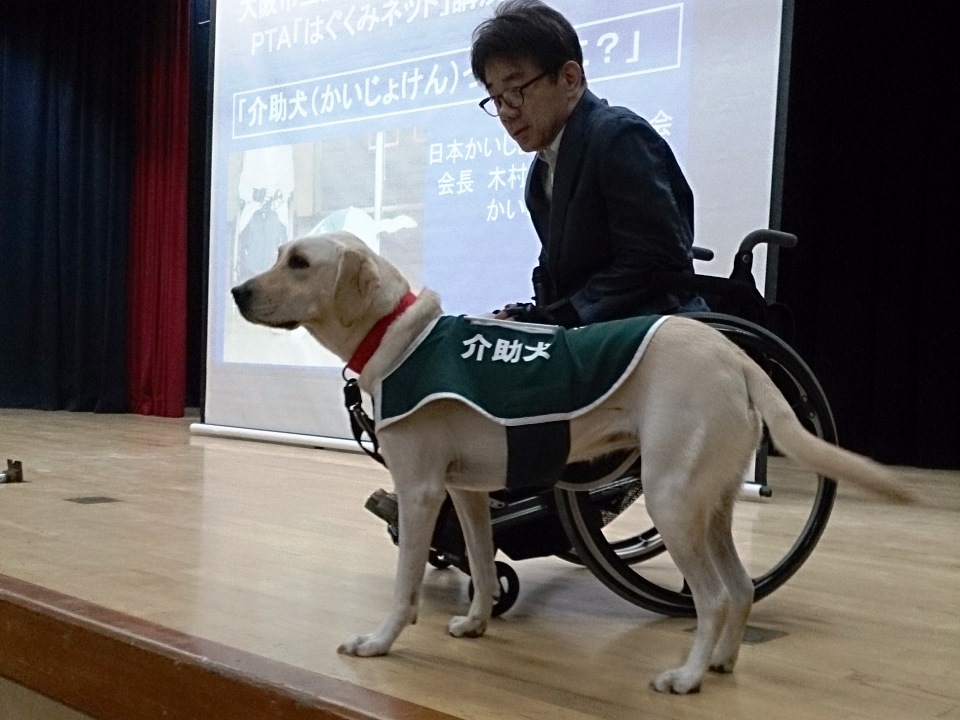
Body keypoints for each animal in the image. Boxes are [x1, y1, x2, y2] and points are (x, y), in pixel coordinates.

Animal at [231, 233, 908, 696]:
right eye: (280, 254)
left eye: (299, 262)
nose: (237, 292)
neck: (400, 336)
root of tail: (734, 354)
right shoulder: (467, 492)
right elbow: (482, 563)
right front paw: (476, 623)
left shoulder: (422, 491)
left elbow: (405, 587)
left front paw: (378, 643)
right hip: (708, 502)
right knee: (740, 588)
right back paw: (720, 663)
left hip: (670, 500)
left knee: (713, 597)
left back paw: (686, 678)